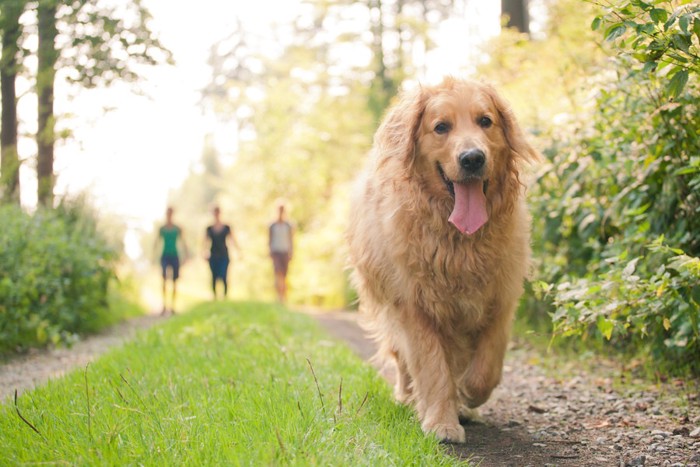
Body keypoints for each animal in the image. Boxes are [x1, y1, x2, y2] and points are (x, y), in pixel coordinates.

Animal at [348, 76, 540, 442]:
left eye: (485, 121)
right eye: (441, 127)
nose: (472, 158)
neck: (460, 242)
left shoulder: (499, 299)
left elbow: (486, 367)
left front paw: (468, 396)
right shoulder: (416, 306)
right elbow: (433, 367)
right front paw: (441, 422)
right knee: (404, 360)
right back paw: (408, 396)